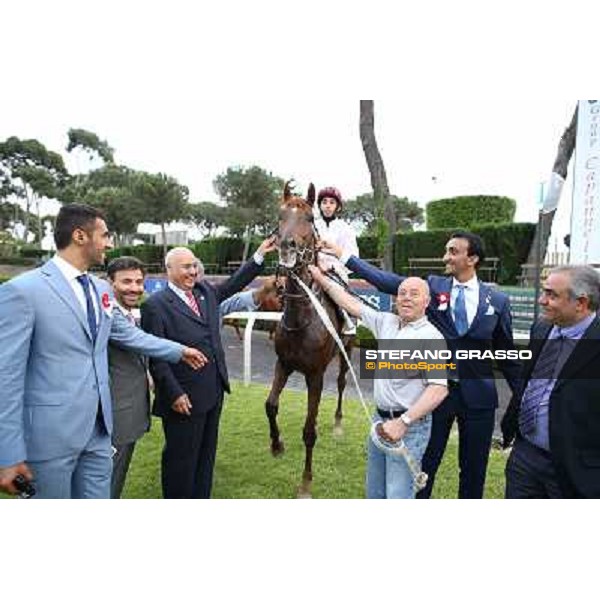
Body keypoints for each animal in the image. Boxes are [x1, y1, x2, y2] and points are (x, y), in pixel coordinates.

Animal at [264, 180, 354, 500]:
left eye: (309, 217)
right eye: (280, 215)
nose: (286, 246)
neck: (301, 319)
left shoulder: (315, 375)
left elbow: (309, 431)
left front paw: (305, 483)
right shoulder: (283, 364)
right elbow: (270, 405)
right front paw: (277, 445)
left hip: (346, 352)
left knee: (340, 383)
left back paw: (338, 423)